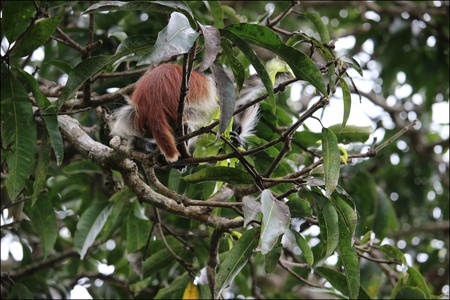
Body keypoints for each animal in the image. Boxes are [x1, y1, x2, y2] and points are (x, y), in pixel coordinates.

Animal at [109, 63, 264, 162]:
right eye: (236, 129)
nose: (235, 135)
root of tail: (153, 101)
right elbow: (245, 88)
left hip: (137, 116)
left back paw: (140, 145)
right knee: (187, 121)